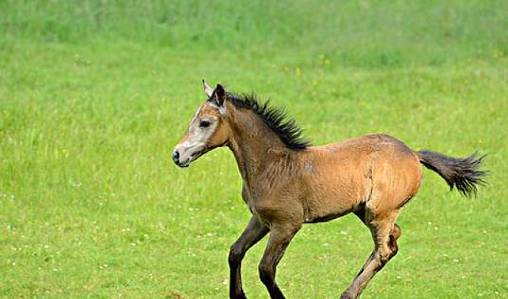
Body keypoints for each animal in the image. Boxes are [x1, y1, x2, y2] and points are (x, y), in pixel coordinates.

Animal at [173, 82, 486, 299]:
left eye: (205, 123)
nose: (177, 155)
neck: (273, 165)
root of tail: (413, 154)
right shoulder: (261, 220)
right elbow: (235, 252)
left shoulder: (287, 224)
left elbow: (266, 269)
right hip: (367, 212)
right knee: (392, 241)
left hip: (379, 212)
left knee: (384, 249)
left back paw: (348, 293)